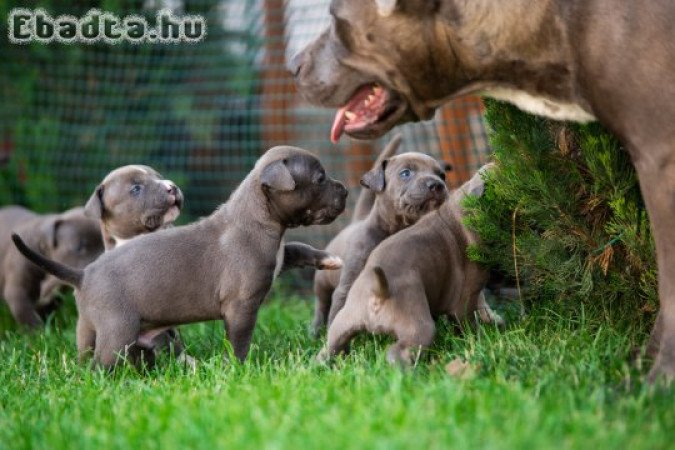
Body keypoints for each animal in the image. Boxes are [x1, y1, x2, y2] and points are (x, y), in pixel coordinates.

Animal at [11, 148, 348, 370]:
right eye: (320, 178)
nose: (345, 189)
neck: (256, 216)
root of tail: (83, 275)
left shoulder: (277, 258)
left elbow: (296, 247)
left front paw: (329, 259)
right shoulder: (241, 306)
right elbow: (239, 341)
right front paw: (239, 370)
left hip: (90, 328)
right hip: (118, 331)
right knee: (102, 366)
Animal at [312, 137, 448, 334]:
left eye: (442, 175)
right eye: (406, 173)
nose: (437, 184)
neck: (396, 228)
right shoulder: (347, 284)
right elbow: (338, 311)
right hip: (322, 282)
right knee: (321, 305)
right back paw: (315, 331)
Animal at [320, 165, 502, 366]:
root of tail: (379, 292)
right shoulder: (466, 298)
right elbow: (469, 323)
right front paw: (479, 339)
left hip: (343, 322)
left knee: (329, 347)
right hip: (418, 326)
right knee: (398, 353)